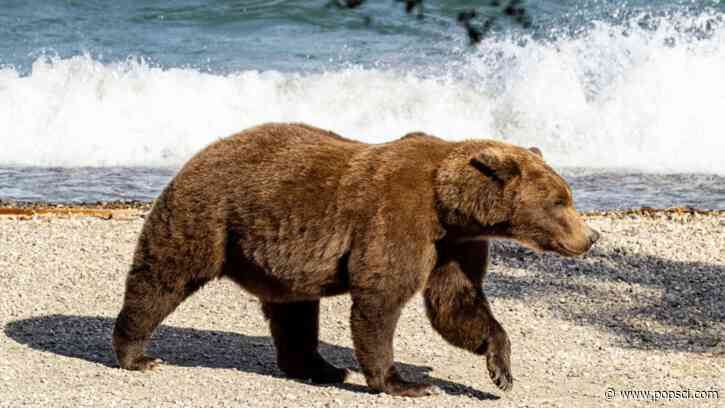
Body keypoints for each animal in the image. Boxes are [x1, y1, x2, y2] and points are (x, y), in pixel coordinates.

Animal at [112, 123, 599, 397]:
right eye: (560, 201)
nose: (590, 236)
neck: (450, 207)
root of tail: (201, 151)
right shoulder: (400, 216)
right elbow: (381, 297)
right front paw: (406, 383)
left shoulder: (455, 246)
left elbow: (456, 303)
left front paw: (501, 370)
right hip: (210, 214)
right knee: (163, 276)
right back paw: (137, 353)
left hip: (280, 257)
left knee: (294, 312)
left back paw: (323, 368)